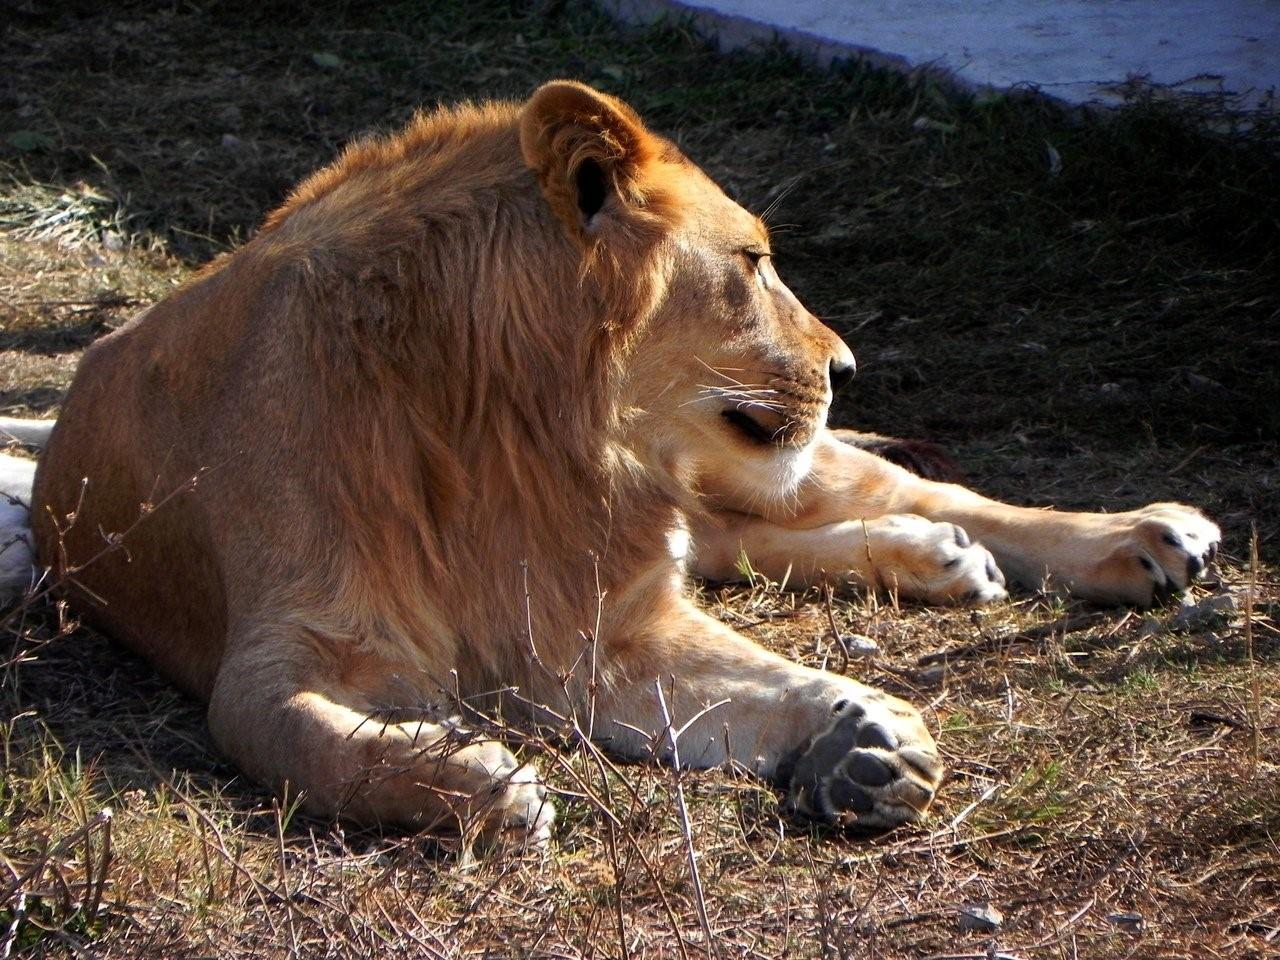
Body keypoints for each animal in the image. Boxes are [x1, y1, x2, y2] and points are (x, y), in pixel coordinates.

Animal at [2, 84, 1218, 849]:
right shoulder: (282, 656)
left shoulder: (601, 621)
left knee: (917, 493)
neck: (525, 436)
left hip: (769, 460)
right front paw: (474, 783)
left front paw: (863, 733)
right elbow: (304, 742)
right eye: (753, 263)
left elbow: (752, 671)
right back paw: (940, 561)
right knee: (746, 545)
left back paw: (1143, 537)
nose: (844, 363)